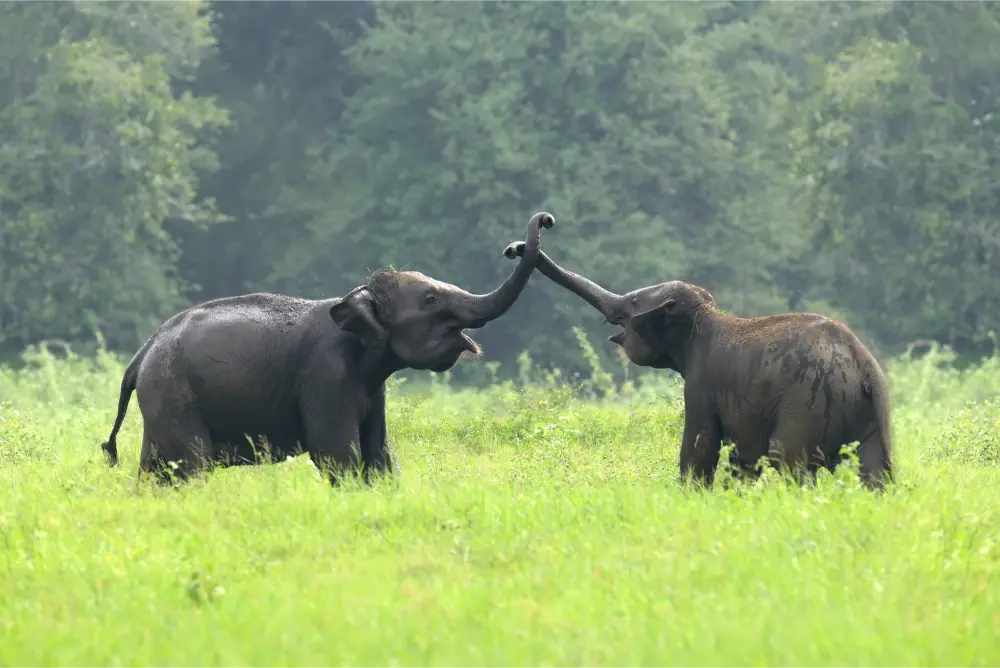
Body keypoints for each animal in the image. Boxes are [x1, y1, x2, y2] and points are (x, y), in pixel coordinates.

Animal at [97, 212, 555, 485]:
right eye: (429, 300)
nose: (543, 222)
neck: (353, 298)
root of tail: (140, 356)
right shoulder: (325, 376)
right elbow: (338, 454)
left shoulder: (372, 386)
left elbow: (379, 453)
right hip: (174, 395)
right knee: (188, 467)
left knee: (155, 469)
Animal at [503, 241, 892, 490]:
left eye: (632, 302)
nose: (515, 247)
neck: (707, 316)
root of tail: (864, 368)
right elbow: (742, 458)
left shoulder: (701, 384)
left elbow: (700, 447)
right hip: (874, 416)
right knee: (877, 473)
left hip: (806, 407)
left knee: (789, 466)